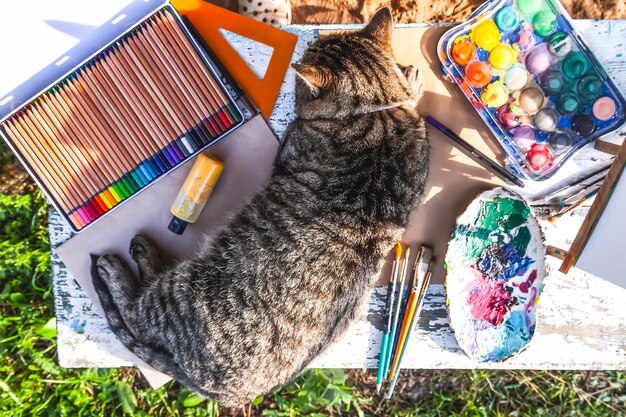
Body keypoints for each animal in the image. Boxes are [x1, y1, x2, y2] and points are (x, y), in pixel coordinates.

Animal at [92, 8, 428, 406]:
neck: (376, 112)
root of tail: (217, 391)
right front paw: (411, 77)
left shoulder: (289, 146)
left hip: (179, 290)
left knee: (136, 314)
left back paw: (125, 263)